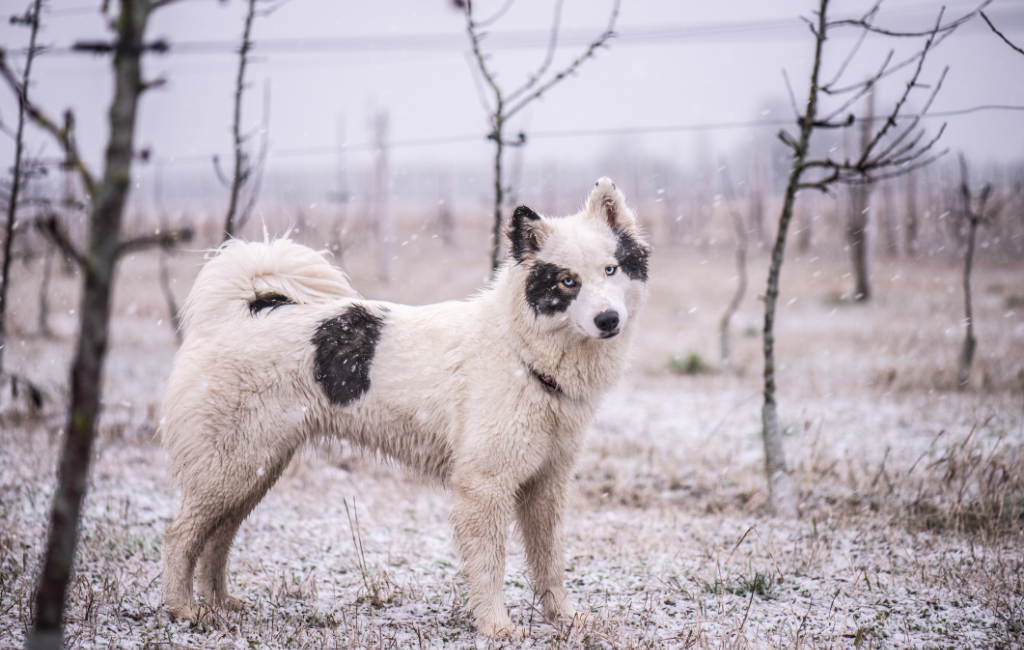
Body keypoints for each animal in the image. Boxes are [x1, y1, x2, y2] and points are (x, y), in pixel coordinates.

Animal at [163, 178, 651, 642]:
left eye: (611, 269)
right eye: (567, 281)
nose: (609, 320)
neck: (521, 350)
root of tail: (236, 314)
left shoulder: (546, 485)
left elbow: (550, 562)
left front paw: (565, 618)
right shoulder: (484, 486)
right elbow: (490, 565)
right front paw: (496, 627)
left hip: (255, 471)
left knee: (218, 539)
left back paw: (221, 603)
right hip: (232, 469)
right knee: (179, 536)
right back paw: (184, 610)